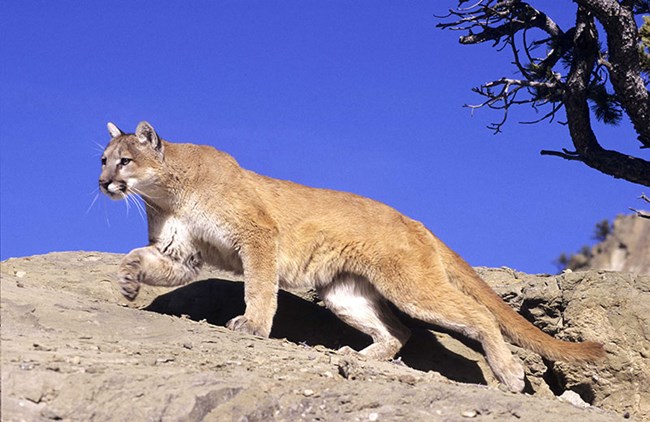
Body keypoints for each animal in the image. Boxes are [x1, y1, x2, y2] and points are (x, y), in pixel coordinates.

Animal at [100, 120, 604, 390]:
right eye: (102, 159)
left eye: (125, 160)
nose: (103, 183)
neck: (170, 192)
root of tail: (414, 220)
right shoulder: (181, 253)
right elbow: (141, 258)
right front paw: (126, 280)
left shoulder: (258, 235)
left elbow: (260, 286)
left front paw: (253, 326)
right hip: (344, 293)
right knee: (399, 330)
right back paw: (361, 357)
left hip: (409, 285)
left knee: (476, 315)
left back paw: (510, 374)